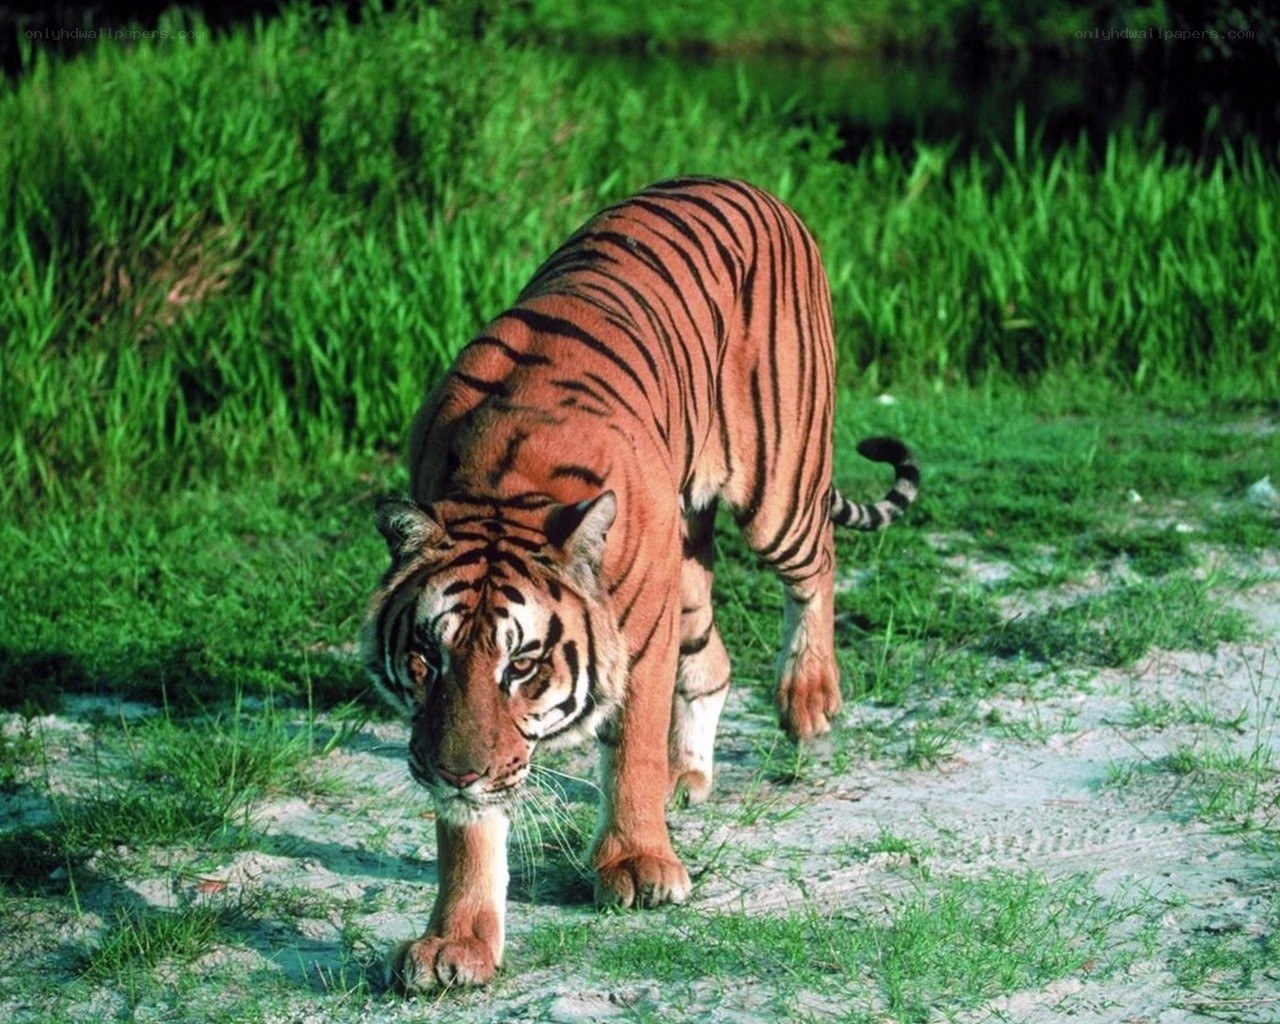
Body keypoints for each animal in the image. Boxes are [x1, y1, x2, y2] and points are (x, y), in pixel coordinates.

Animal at [360, 177, 919, 993]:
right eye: (427, 658)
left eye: (522, 665)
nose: (455, 773)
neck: (503, 487)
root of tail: (748, 185)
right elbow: (471, 828)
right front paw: (455, 943)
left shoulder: (641, 632)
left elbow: (630, 748)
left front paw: (637, 865)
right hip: (687, 556)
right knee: (713, 660)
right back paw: (687, 776)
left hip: (775, 492)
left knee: (817, 563)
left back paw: (808, 699)